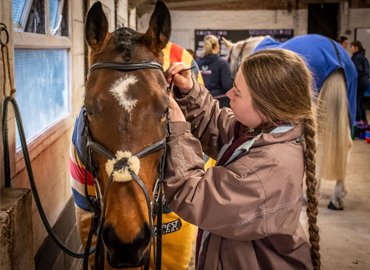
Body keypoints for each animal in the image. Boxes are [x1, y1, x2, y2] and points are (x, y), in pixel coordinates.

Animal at [221, 34, 356, 211]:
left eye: (229, 60)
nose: (229, 90)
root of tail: (336, 53)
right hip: (350, 105)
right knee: (346, 144)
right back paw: (338, 197)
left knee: (318, 146)